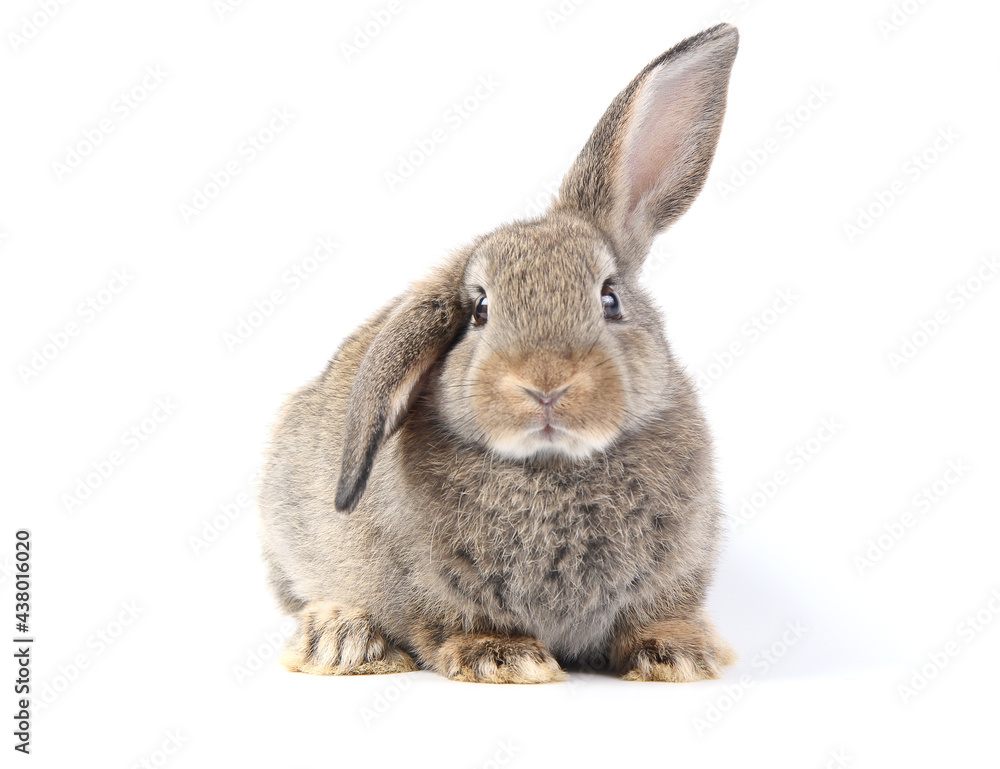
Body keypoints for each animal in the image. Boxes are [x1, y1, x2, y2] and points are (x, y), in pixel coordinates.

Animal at [258, 23, 739, 683]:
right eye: (480, 310)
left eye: (610, 299)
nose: (546, 384)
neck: (554, 467)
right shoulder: (429, 594)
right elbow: (450, 625)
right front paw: (504, 657)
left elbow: (658, 617)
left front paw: (682, 654)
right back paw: (342, 639)